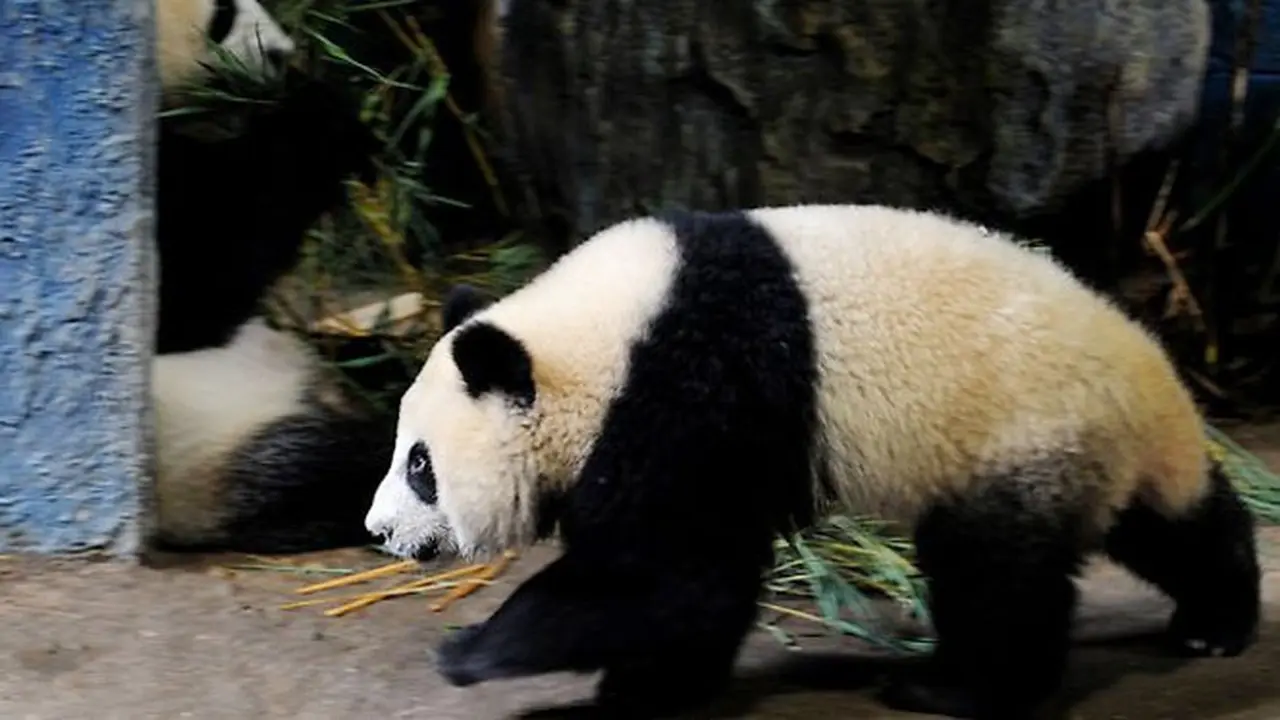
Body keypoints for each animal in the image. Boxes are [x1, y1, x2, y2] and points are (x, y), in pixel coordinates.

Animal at [149, 0, 393, 553]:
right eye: (222, 14)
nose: (282, 53)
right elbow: (200, 289)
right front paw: (322, 115)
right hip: (210, 446)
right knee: (338, 465)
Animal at [362, 204, 1262, 719]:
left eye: (420, 465)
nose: (378, 532)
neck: (595, 345)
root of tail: (1146, 377)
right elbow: (693, 590)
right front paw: (648, 687)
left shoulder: (693, 391)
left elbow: (675, 578)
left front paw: (477, 648)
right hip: (1092, 450)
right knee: (1172, 522)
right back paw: (1216, 621)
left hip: (1015, 432)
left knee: (995, 574)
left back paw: (956, 688)